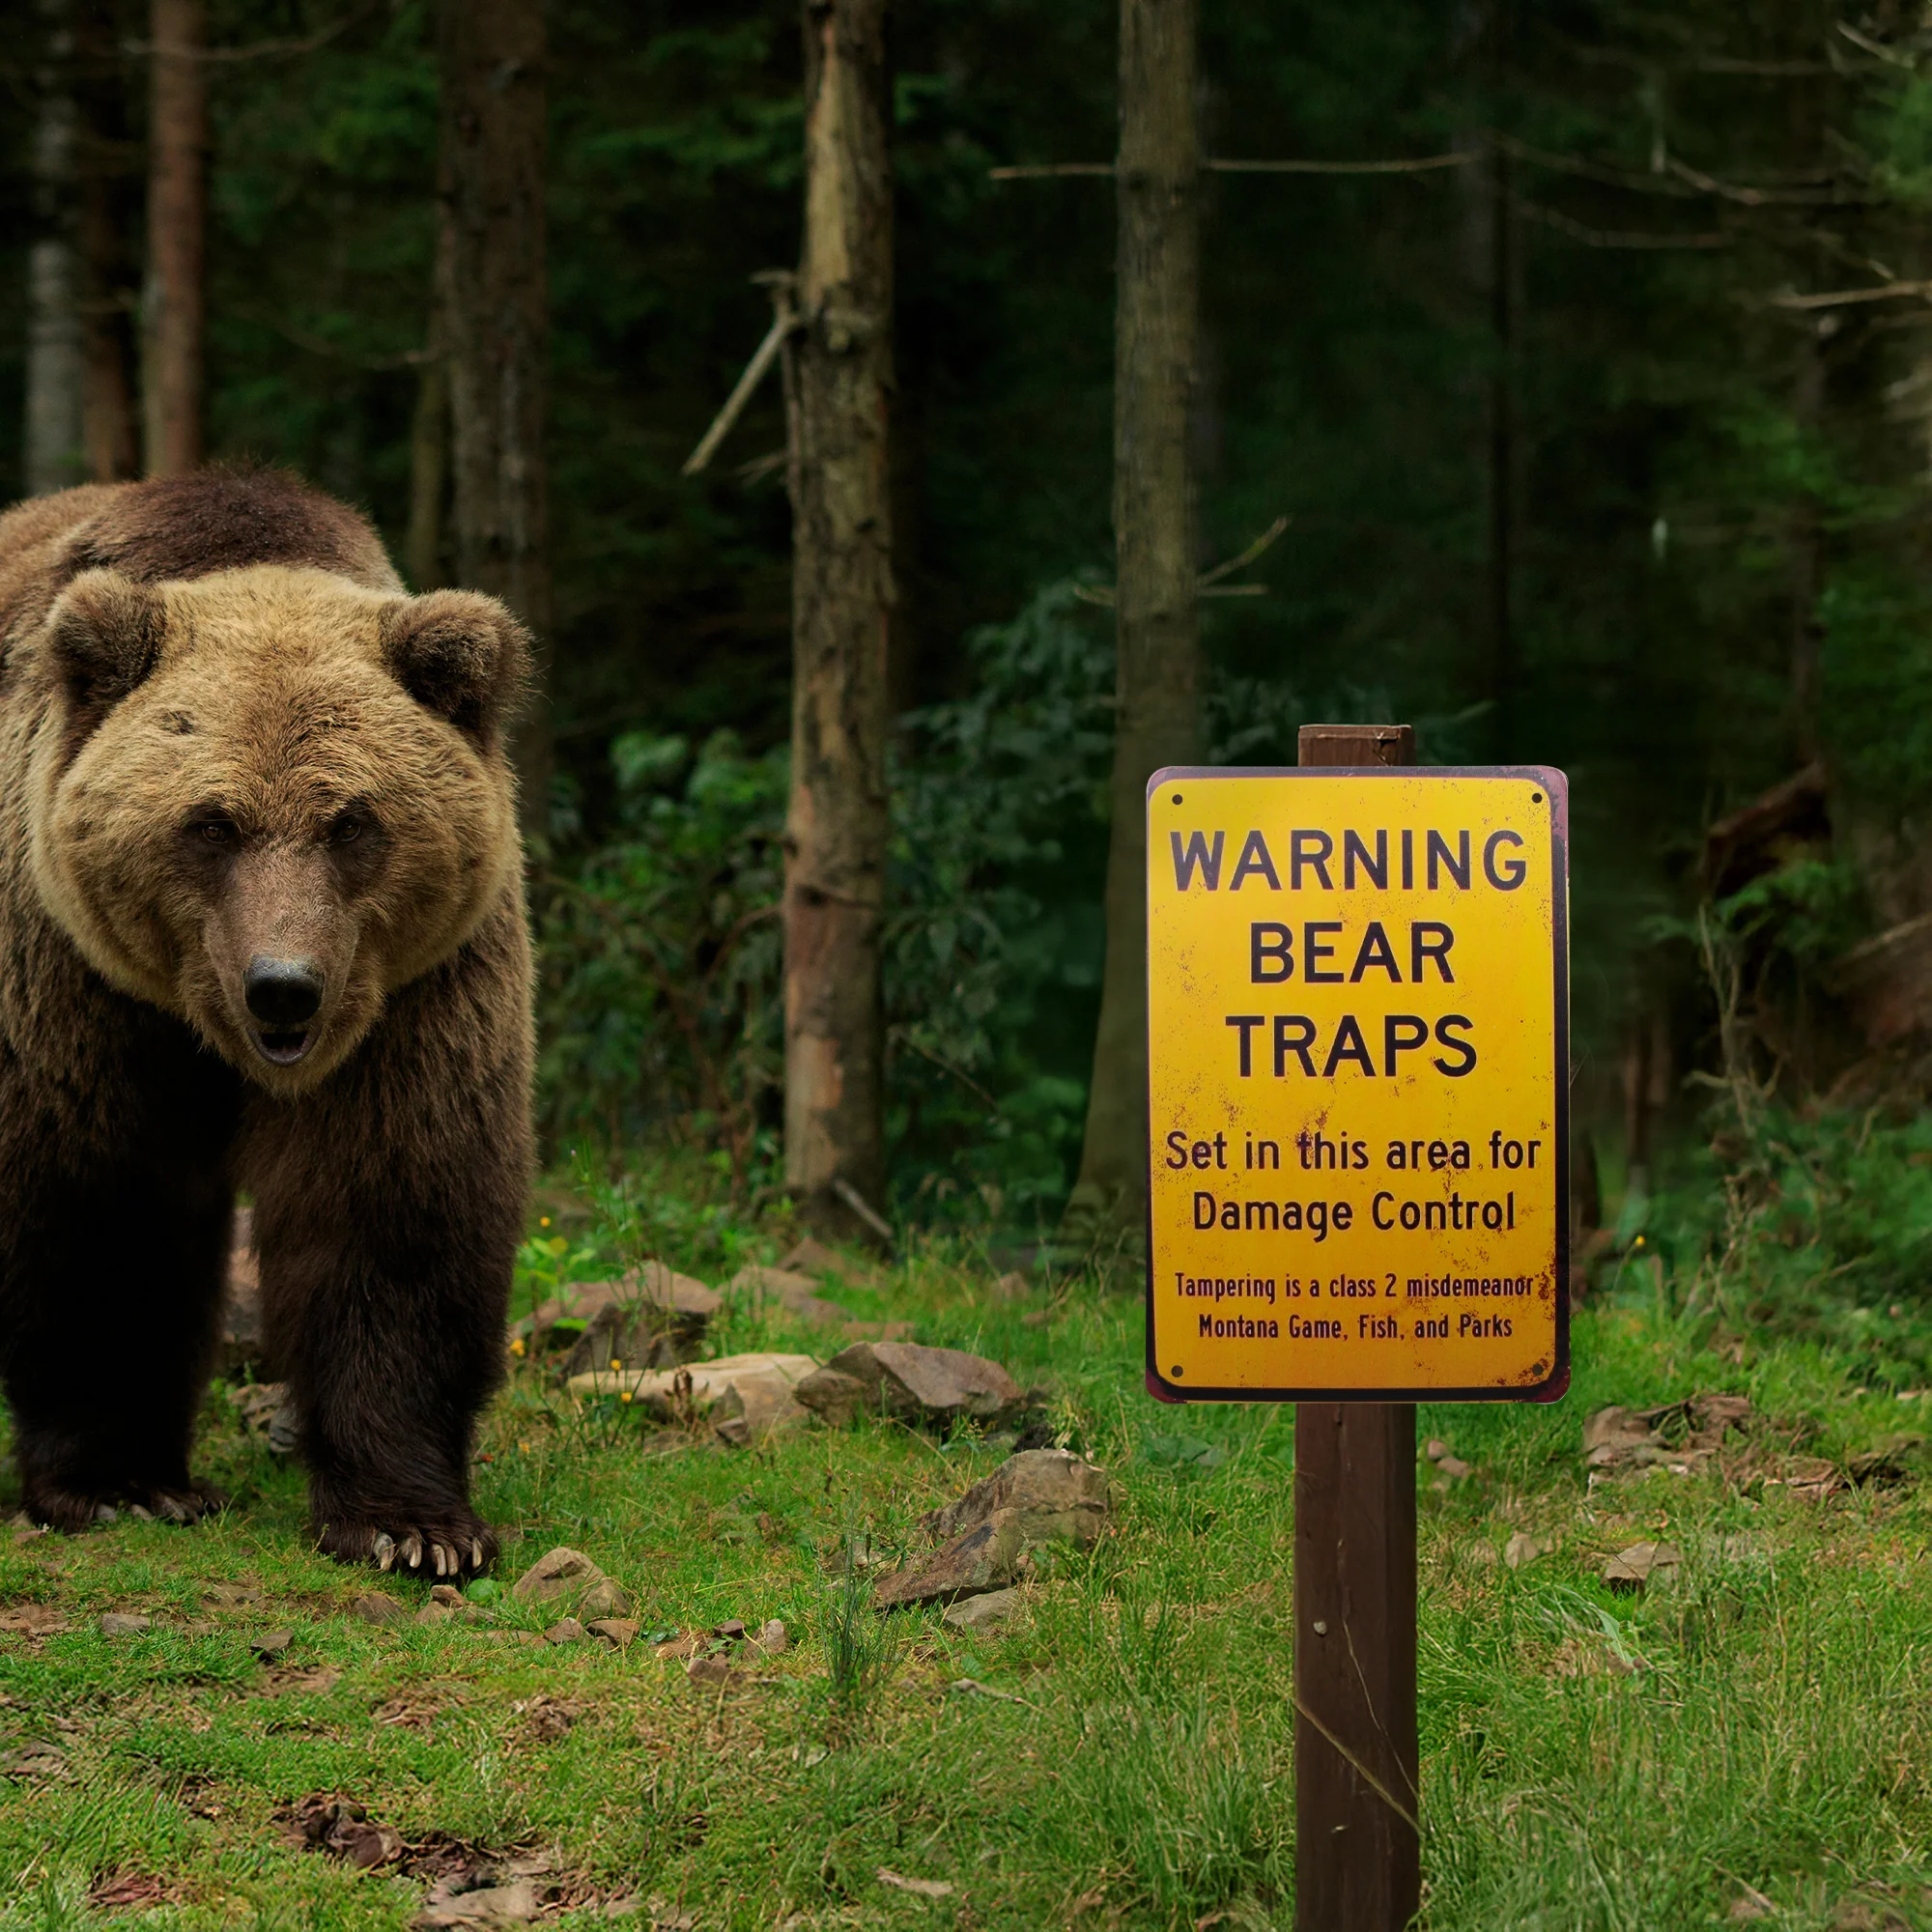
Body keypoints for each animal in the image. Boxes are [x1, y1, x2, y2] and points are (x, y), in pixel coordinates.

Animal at [0, 468, 533, 1577]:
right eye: (212, 822)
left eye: (352, 821)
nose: (282, 987)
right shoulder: (80, 984)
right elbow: (98, 1199)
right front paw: (120, 1482)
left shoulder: (408, 998)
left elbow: (391, 1205)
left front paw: (412, 1525)